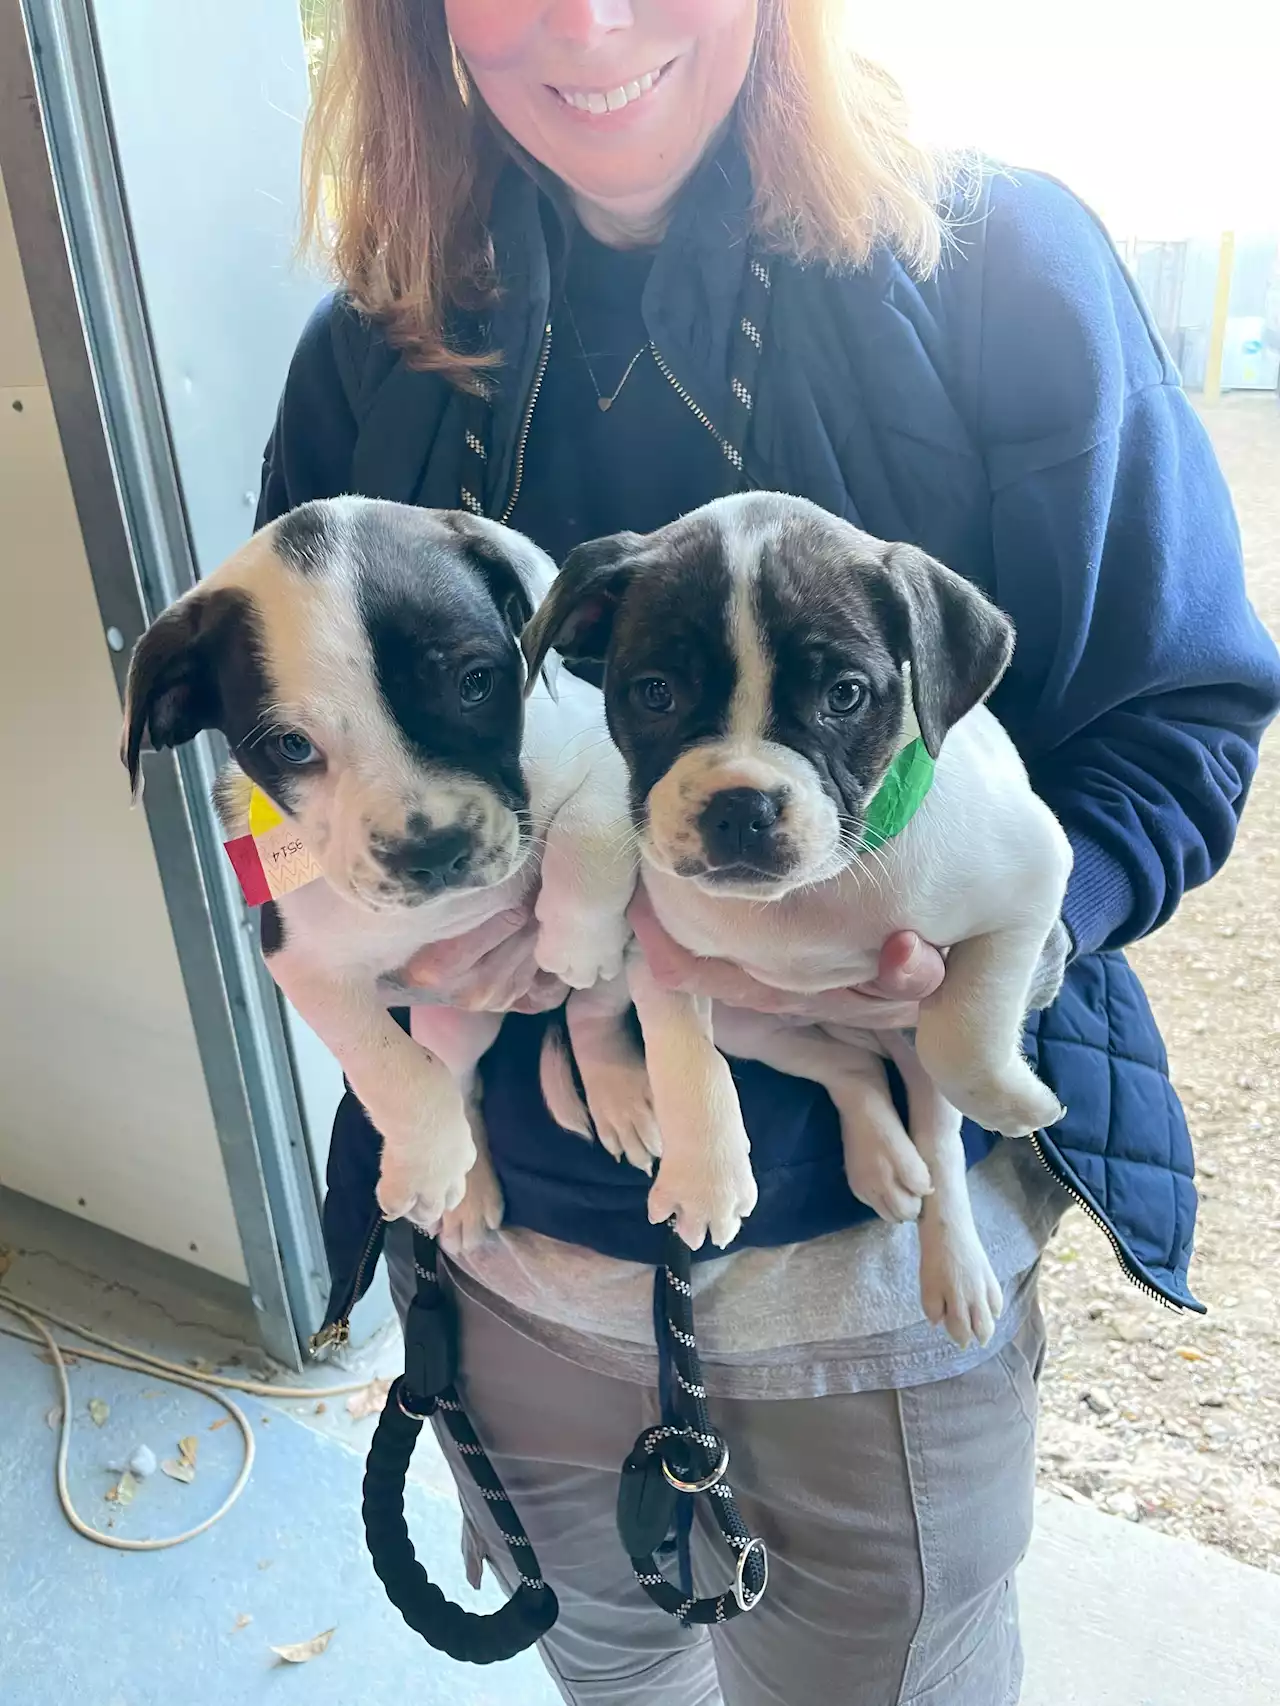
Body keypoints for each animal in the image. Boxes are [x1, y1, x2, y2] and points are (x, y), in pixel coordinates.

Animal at [121, 498, 655, 1248]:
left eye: (475, 683)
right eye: (292, 746)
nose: (432, 850)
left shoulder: (603, 749)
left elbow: (592, 822)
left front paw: (576, 935)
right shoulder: (302, 961)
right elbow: (387, 1063)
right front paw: (429, 1161)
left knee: (593, 1011)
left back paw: (615, 1086)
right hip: (454, 1020)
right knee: (459, 1076)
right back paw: (466, 1189)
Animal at [522, 491, 1071, 1344]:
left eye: (844, 695)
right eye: (656, 692)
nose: (741, 806)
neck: (808, 897)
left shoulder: (1031, 889)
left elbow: (964, 1038)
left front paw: (1014, 1102)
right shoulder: (659, 947)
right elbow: (684, 1056)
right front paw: (706, 1176)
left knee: (934, 1119)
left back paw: (954, 1262)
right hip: (753, 1019)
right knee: (844, 1066)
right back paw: (877, 1159)